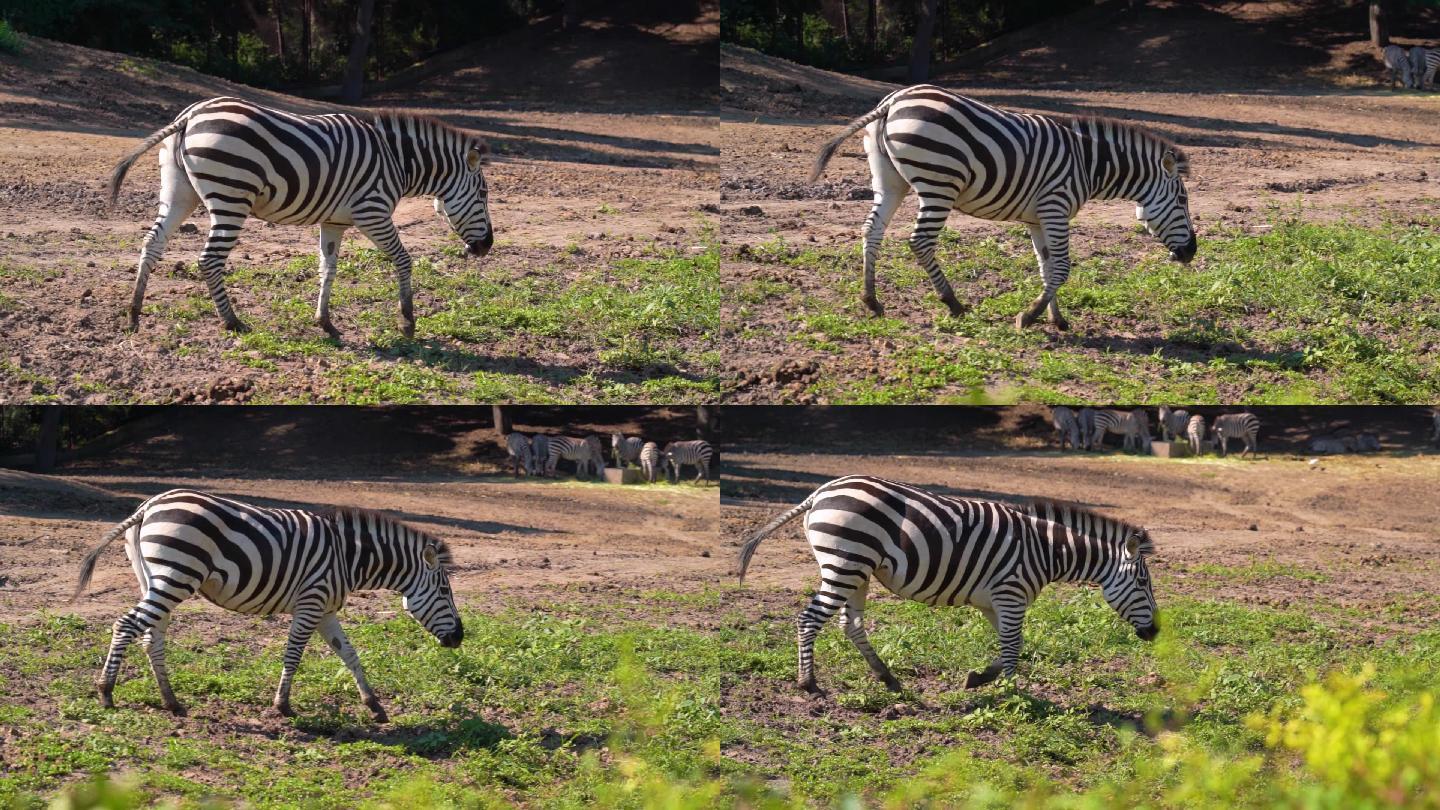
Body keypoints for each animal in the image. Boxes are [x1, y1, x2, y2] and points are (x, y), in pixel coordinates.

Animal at [71, 490, 460, 714]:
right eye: (444, 591)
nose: (460, 638)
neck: (348, 559)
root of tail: (149, 505)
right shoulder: (310, 603)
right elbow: (294, 654)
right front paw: (283, 706)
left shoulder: (326, 610)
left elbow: (350, 654)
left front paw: (374, 705)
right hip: (176, 576)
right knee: (126, 624)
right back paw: (106, 692)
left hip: (157, 579)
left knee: (152, 635)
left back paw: (171, 701)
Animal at [106, 95, 495, 335]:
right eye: (484, 194)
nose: (487, 247)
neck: (398, 160)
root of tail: (189, 115)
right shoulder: (372, 212)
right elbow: (403, 260)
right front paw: (407, 322)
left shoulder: (335, 221)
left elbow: (328, 268)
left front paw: (325, 322)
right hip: (231, 195)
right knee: (209, 260)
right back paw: (232, 322)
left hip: (179, 191)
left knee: (152, 243)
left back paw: (134, 314)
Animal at [737, 475, 1163, 691]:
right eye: (1143, 582)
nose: (1156, 632)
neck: (1045, 551)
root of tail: (819, 493)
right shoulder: (1010, 594)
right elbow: (1013, 647)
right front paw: (1013, 696)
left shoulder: (997, 601)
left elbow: (1013, 644)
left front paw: (979, 679)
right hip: (845, 563)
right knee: (809, 619)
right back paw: (808, 683)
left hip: (857, 569)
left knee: (851, 624)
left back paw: (888, 678)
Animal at [806, 84, 1198, 328]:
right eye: (1182, 200)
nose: (1192, 252)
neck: (1089, 165)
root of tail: (891, 102)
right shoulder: (1055, 207)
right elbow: (1062, 268)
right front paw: (1030, 316)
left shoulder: (1039, 218)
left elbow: (1047, 267)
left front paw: (1057, 319)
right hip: (939, 182)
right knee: (920, 241)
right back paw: (953, 303)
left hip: (890, 181)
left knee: (872, 230)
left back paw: (871, 300)